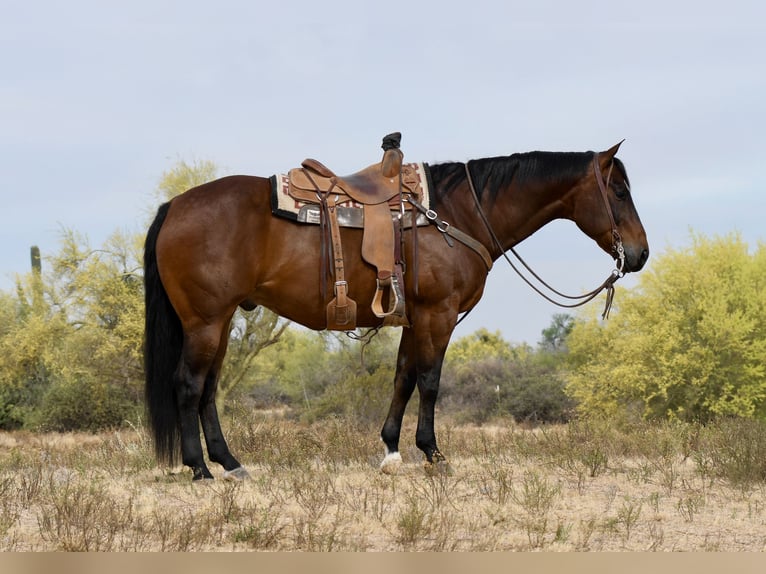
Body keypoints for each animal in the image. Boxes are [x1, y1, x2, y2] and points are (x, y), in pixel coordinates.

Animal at [143, 140, 649, 480]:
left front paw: (390, 451)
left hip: (221, 320)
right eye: (619, 192)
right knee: (188, 384)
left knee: (209, 389)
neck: (458, 214)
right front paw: (433, 453)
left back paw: (230, 463)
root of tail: (176, 205)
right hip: (205, 321)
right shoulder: (438, 314)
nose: (641, 254)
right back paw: (199, 469)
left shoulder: (412, 316)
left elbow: (403, 377)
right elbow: (430, 381)